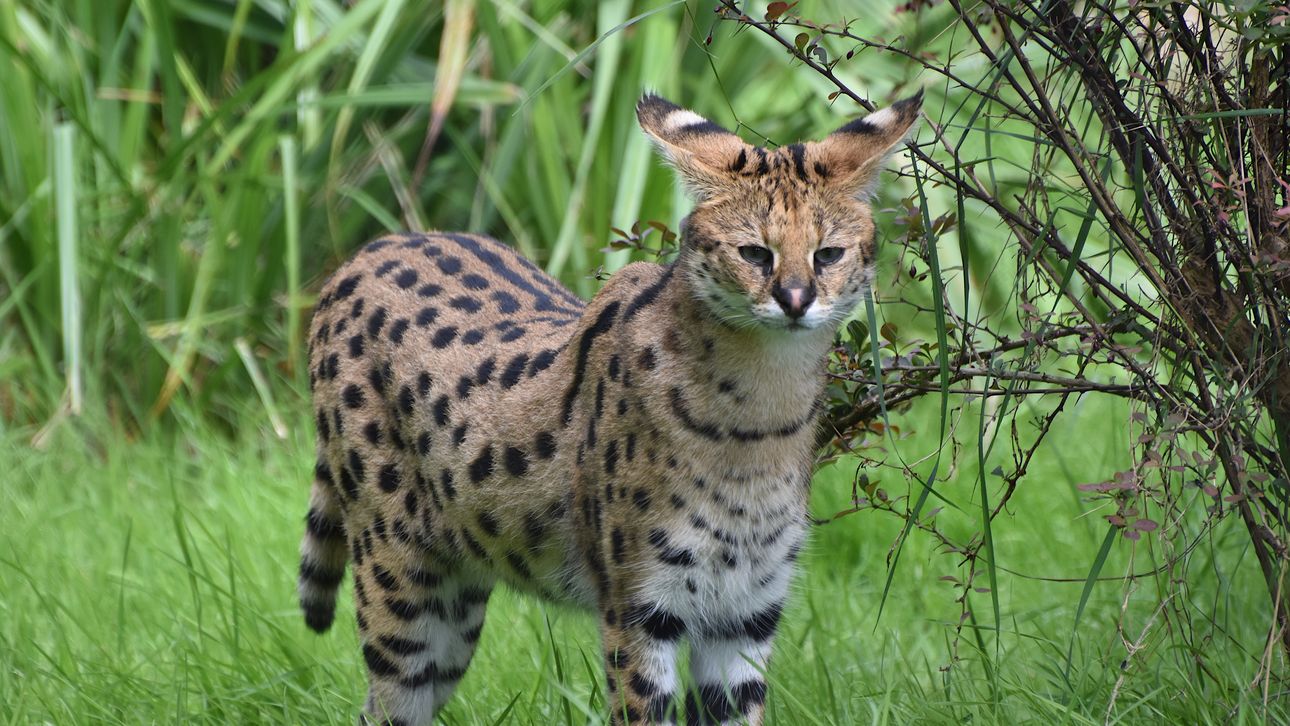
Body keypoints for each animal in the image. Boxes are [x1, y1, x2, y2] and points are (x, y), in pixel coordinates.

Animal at [296, 93, 923, 722]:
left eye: (828, 254)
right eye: (754, 252)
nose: (796, 300)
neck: (762, 419)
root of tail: (367, 251)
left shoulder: (746, 612)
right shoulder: (640, 604)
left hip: (453, 608)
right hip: (401, 586)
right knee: (383, 703)